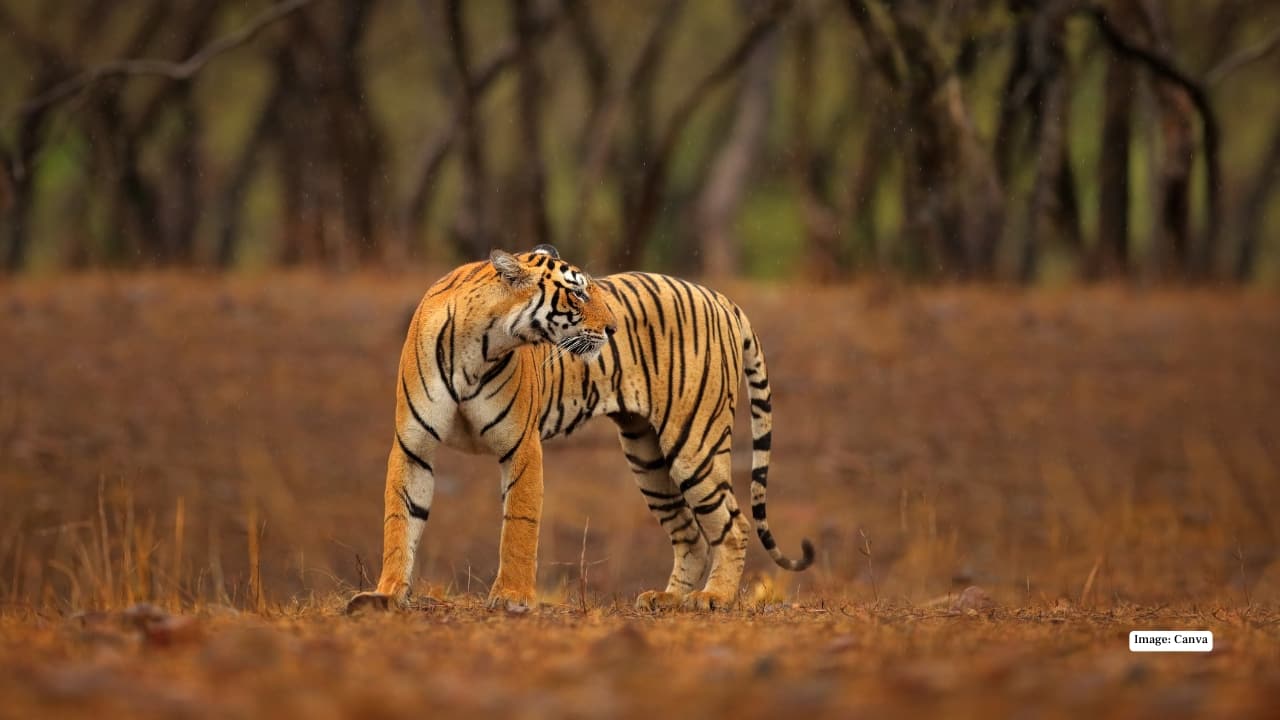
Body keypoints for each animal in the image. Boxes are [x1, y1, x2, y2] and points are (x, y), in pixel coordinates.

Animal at [346, 244, 813, 614]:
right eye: (577, 291)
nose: (614, 329)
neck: (478, 347)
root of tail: (721, 298)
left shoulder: (521, 446)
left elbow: (519, 524)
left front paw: (512, 596)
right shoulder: (413, 446)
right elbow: (400, 520)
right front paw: (386, 594)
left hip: (693, 444)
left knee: (734, 524)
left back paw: (713, 598)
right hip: (648, 457)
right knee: (691, 535)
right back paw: (667, 599)